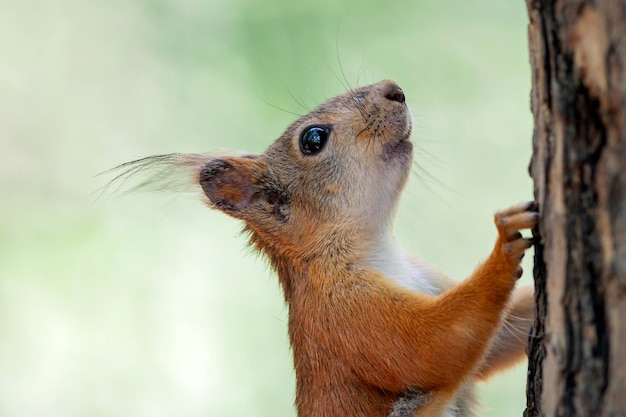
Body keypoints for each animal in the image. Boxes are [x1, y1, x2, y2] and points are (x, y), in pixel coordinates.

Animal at [107, 79, 536, 414]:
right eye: (313, 139)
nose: (393, 89)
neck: (375, 246)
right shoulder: (345, 314)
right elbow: (433, 345)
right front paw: (504, 243)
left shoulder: (426, 276)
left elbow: (497, 339)